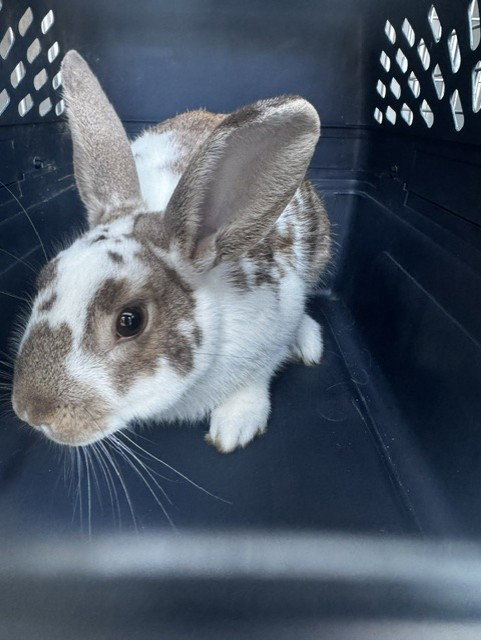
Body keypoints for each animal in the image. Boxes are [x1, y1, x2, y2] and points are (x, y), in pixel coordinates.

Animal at [11, 50, 331, 453]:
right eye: (44, 277)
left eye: (130, 320)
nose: (30, 411)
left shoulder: (276, 323)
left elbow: (256, 379)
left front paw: (234, 428)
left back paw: (309, 343)